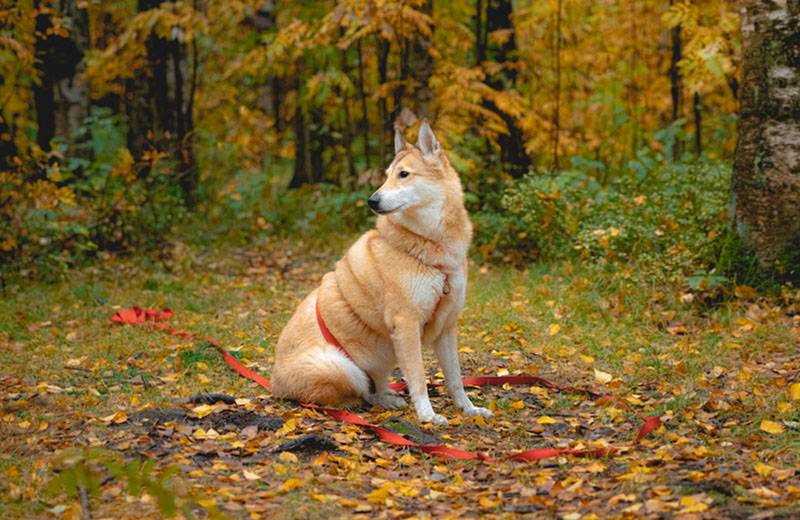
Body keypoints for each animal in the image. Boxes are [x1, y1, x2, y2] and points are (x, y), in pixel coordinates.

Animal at [272, 120, 490, 424]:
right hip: (340, 366)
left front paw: (468, 409)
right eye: (387, 176)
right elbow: (419, 379)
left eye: (404, 174)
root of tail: (274, 384)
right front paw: (427, 416)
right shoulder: (407, 324)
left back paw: (389, 397)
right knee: (362, 393)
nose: (372, 201)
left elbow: (455, 379)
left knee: (375, 387)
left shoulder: (447, 327)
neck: (428, 247)